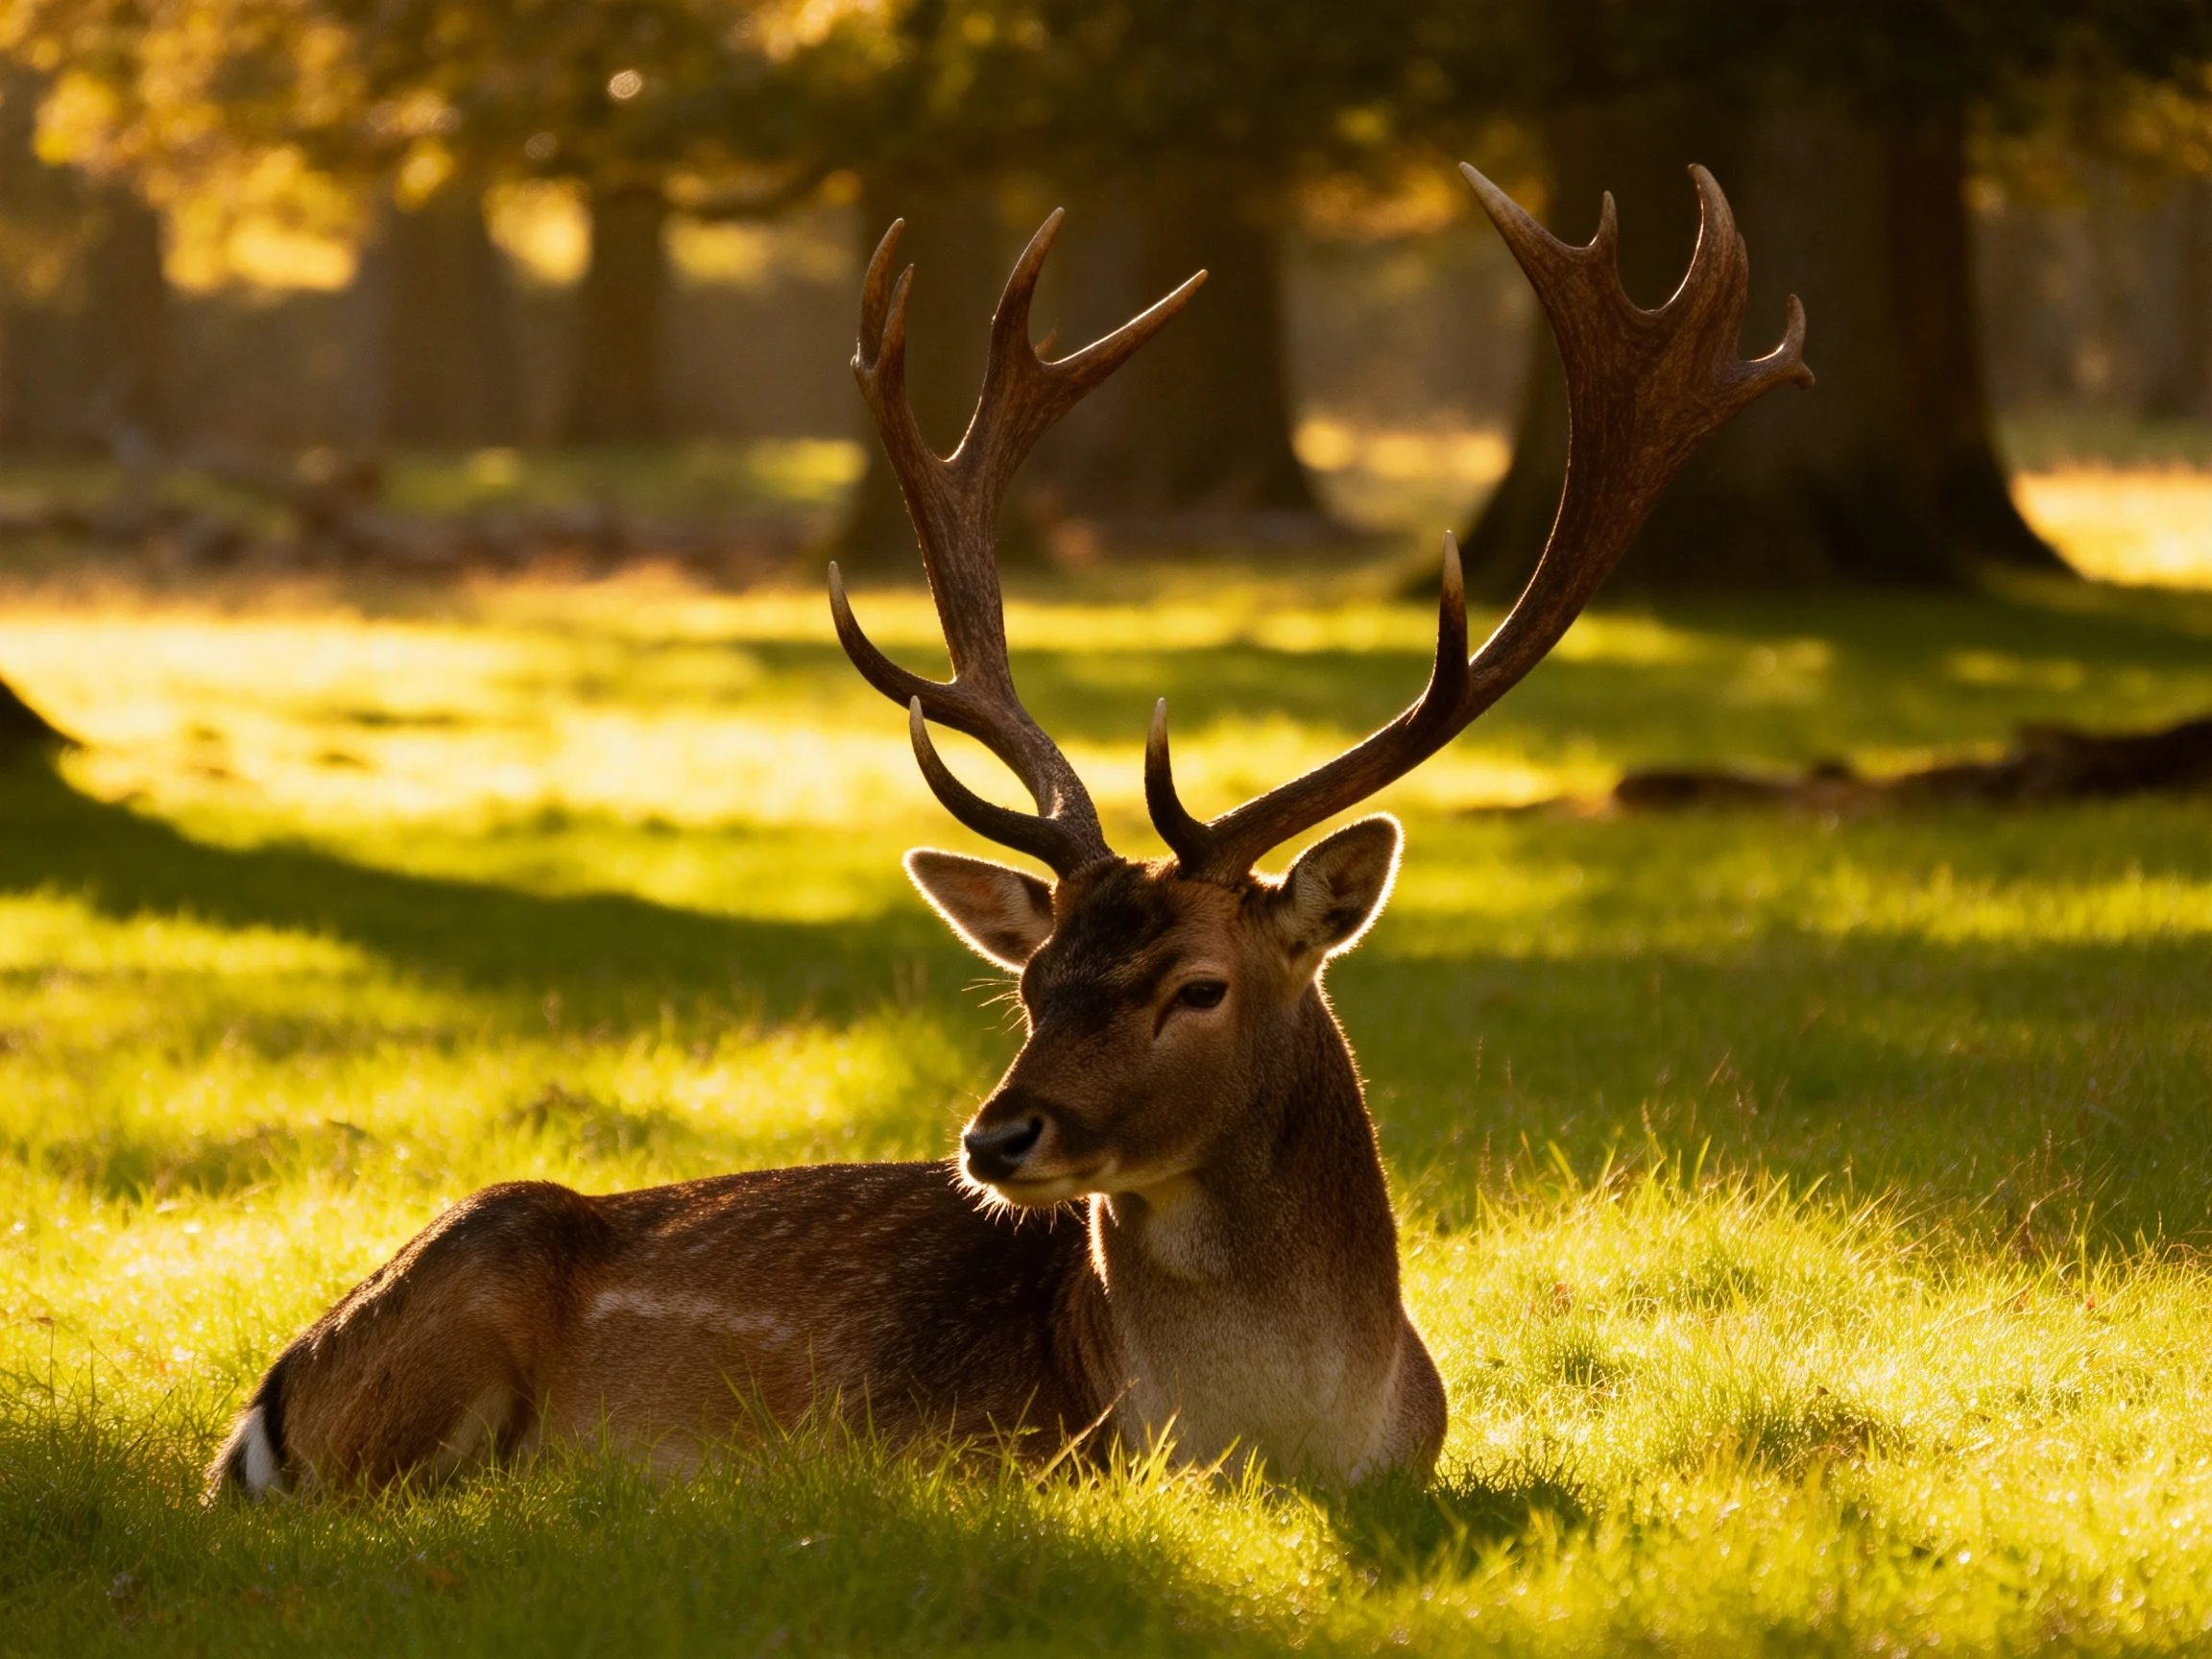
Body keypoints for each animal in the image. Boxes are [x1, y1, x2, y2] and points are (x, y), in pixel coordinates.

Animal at [204, 163, 1808, 1502]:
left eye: (1197, 986)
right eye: (1030, 985)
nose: (996, 1133)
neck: (1286, 1446)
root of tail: (266, 1404)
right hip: (443, 1343)